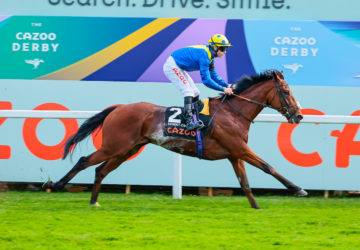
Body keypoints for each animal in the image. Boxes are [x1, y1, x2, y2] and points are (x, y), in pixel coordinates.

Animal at [44, 69, 306, 208]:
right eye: (285, 91)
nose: (299, 115)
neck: (233, 112)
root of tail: (119, 108)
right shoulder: (239, 149)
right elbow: (268, 167)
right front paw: (298, 189)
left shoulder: (234, 154)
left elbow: (245, 183)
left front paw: (255, 207)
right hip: (114, 146)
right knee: (84, 161)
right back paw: (56, 184)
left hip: (126, 149)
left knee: (100, 170)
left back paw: (93, 201)